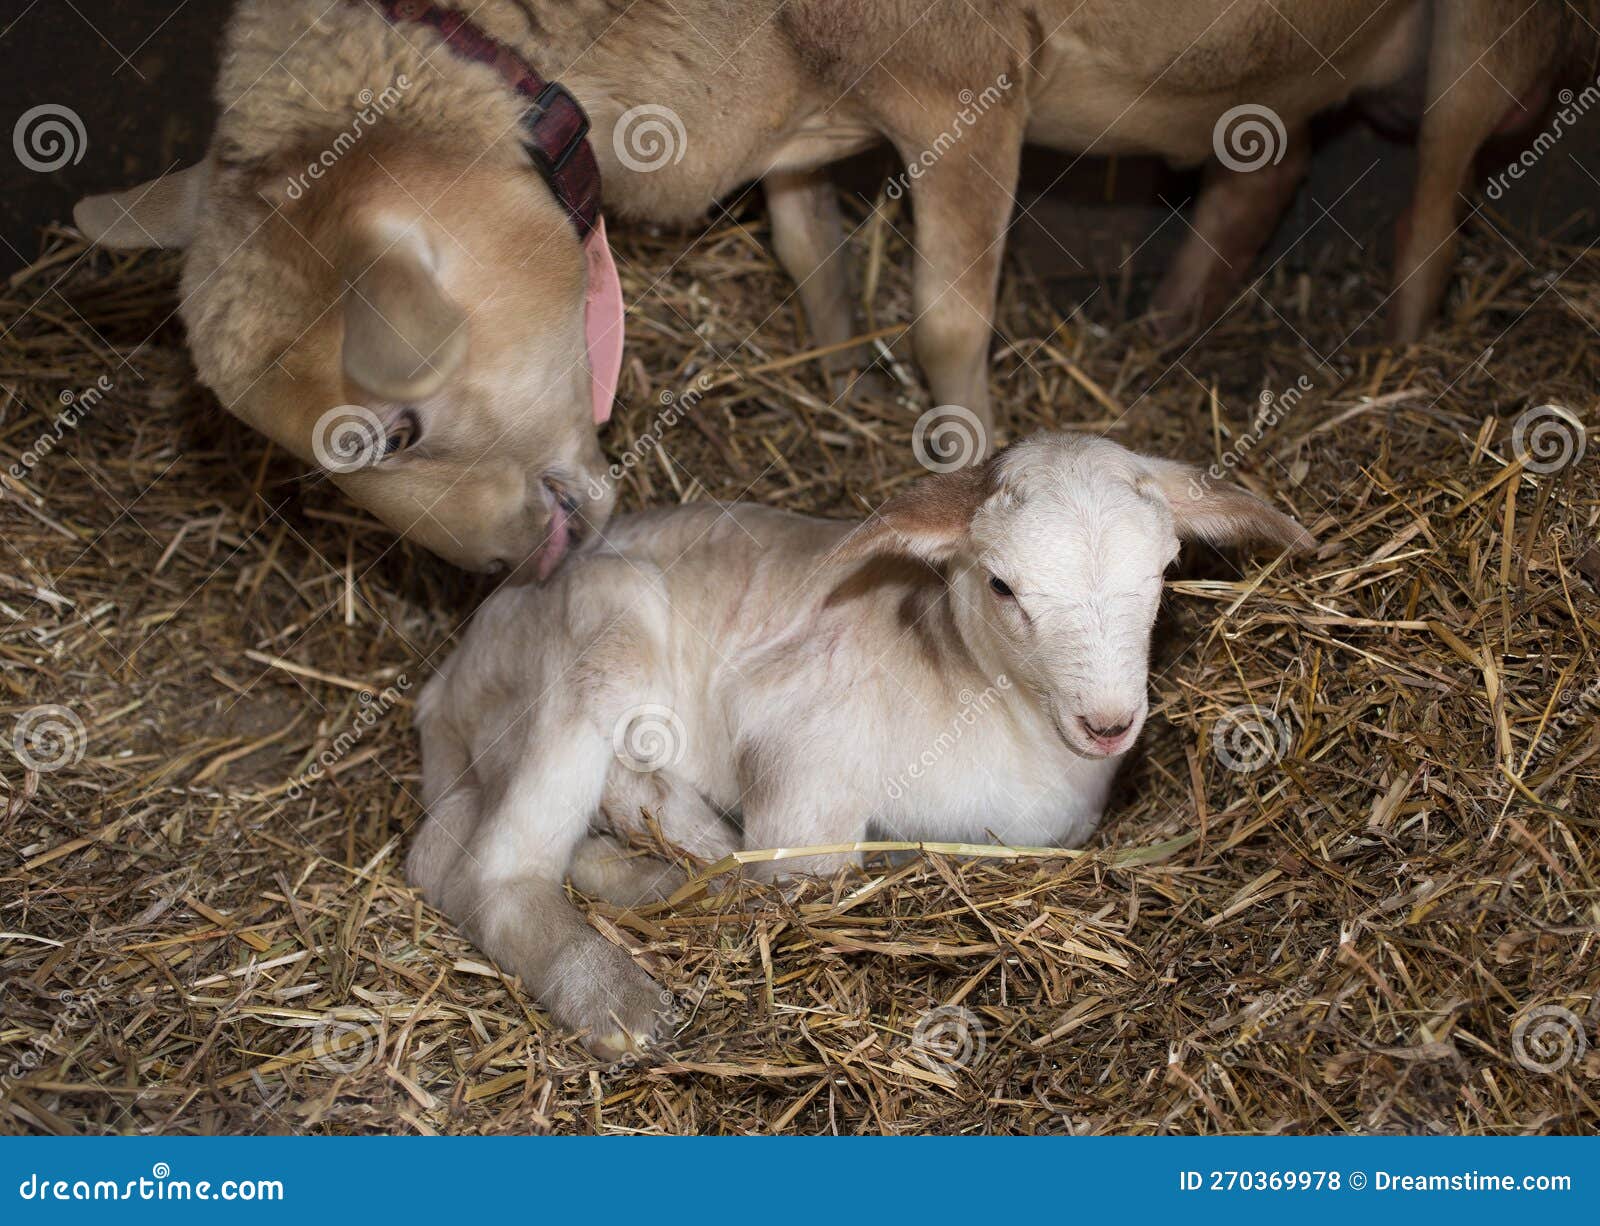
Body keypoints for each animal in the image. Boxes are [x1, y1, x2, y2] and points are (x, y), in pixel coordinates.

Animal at [407, 433, 1313, 1054]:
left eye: (1162, 572)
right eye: (1002, 585)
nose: (1108, 723)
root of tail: (445, 683)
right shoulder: (798, 749)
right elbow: (799, 877)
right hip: (606, 614)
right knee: (485, 869)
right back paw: (619, 999)